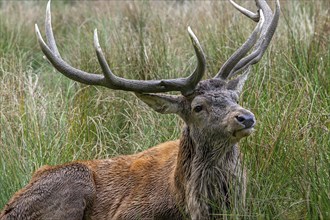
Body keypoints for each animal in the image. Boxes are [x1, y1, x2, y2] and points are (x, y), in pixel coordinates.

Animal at [0, 0, 278, 219]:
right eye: (198, 107)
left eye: (235, 96)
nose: (245, 117)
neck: (185, 201)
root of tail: (9, 208)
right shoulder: (129, 213)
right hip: (74, 181)